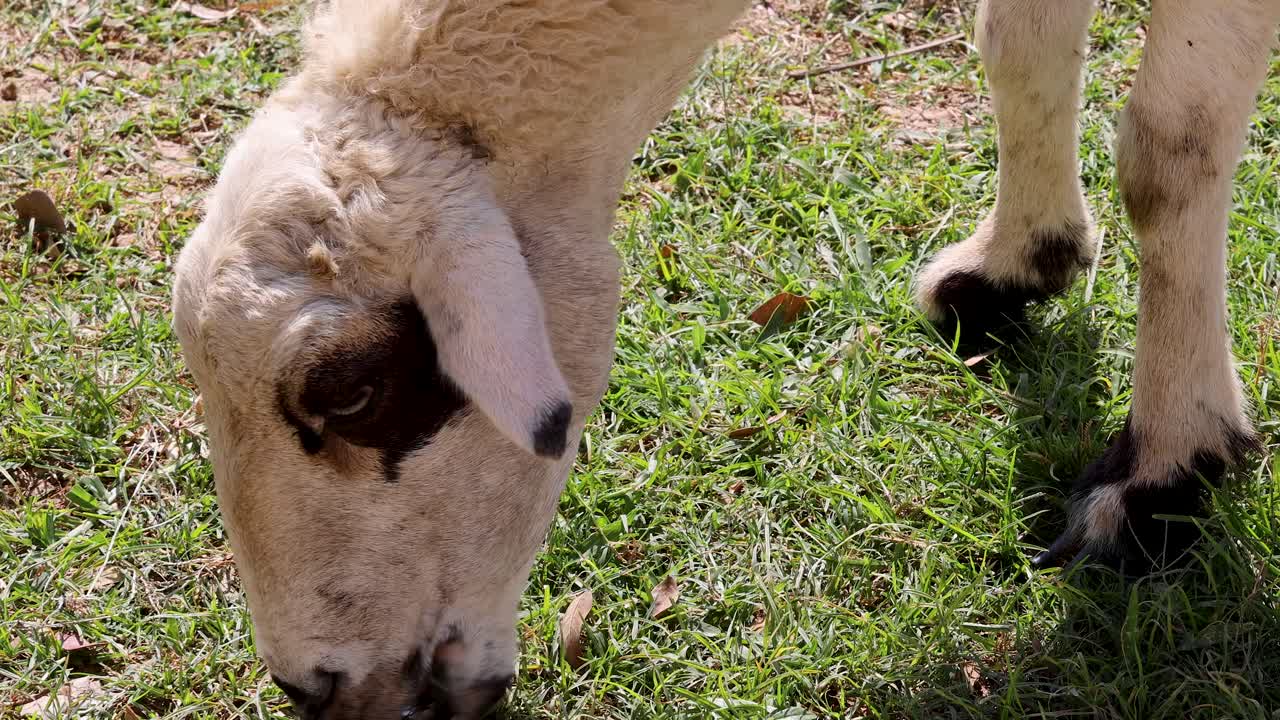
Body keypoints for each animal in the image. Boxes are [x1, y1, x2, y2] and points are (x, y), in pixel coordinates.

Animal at [170, 0, 1279, 717]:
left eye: (353, 389)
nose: (314, 688)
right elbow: (1018, 42)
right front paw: (1015, 265)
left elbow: (1165, 151)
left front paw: (1165, 474)